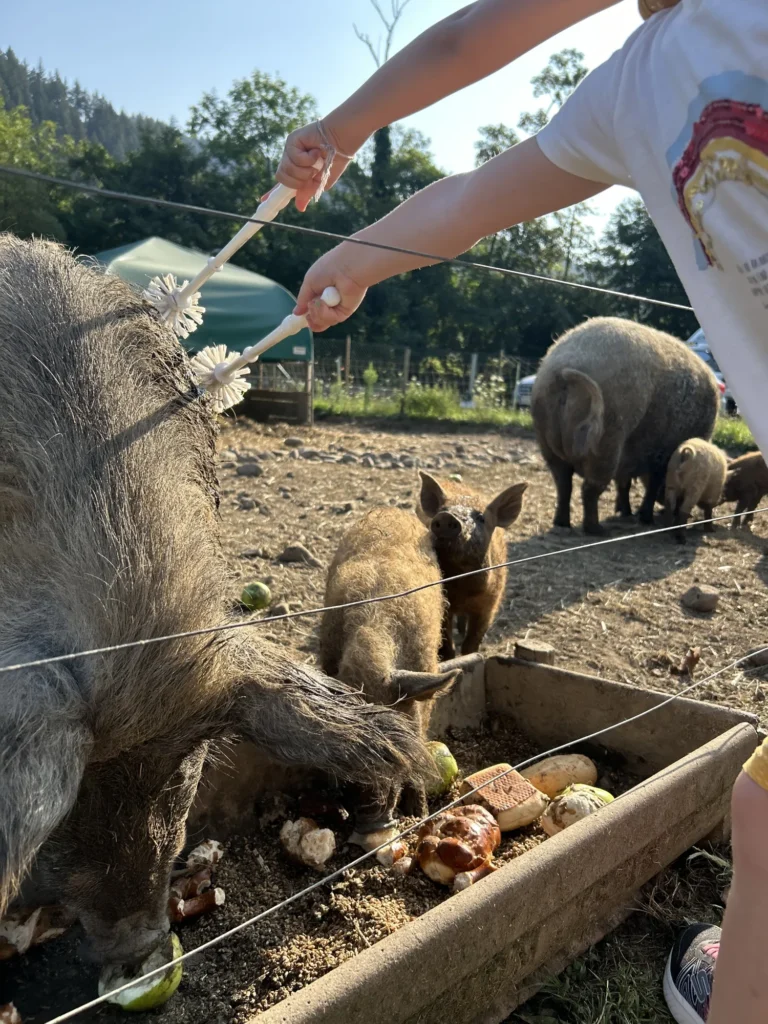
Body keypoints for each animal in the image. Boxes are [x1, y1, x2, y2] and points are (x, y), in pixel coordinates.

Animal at [417, 472, 528, 660]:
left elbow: (472, 642)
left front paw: (471, 655)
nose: (446, 517)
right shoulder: (445, 605)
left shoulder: (490, 604)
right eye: (441, 510)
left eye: (481, 518)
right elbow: (448, 645)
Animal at [531, 317, 720, 535]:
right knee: (589, 489)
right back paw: (597, 530)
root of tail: (563, 370)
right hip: (608, 438)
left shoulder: (630, 458)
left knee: (563, 484)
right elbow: (651, 484)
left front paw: (626, 513)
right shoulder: (659, 456)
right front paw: (644, 519)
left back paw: (562, 523)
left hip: (546, 438)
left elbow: (624, 483)